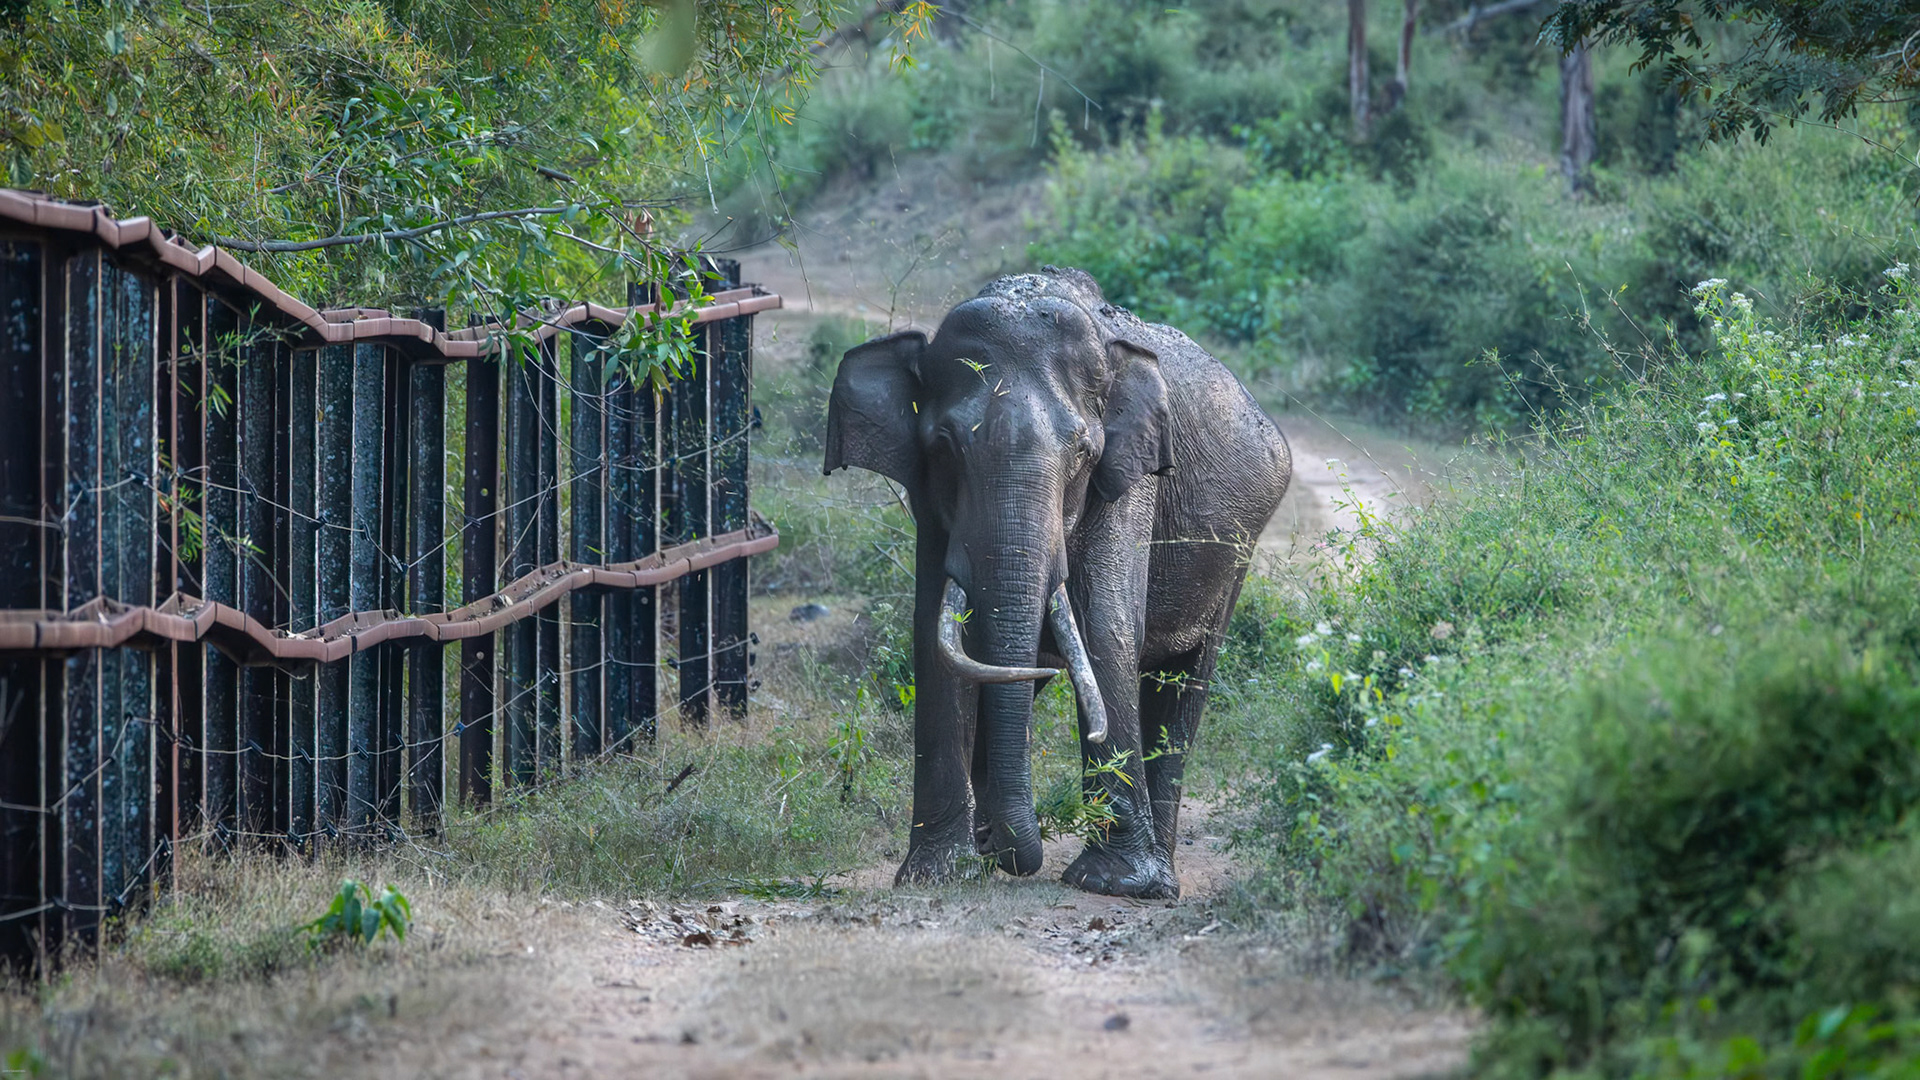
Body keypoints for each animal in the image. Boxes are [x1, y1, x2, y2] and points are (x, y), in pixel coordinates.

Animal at [822, 266, 1291, 898]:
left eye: (1083, 454)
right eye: (943, 448)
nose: (1011, 857)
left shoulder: (1128, 479)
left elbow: (1106, 629)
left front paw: (1116, 885)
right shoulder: (933, 507)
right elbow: (937, 638)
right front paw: (936, 875)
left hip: (1240, 549)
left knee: (1185, 680)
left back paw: (1161, 878)